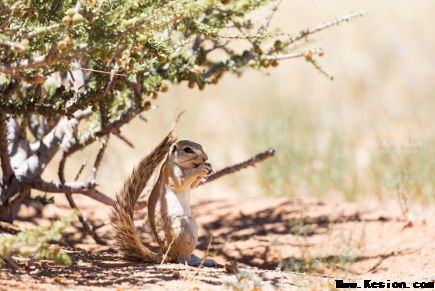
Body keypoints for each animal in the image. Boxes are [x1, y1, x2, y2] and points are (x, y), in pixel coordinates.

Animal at [111, 127, 218, 266]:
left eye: (201, 146)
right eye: (188, 150)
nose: (205, 157)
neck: (185, 167)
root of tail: (166, 254)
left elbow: (193, 186)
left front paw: (207, 168)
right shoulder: (170, 172)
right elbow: (180, 184)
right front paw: (201, 169)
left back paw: (205, 260)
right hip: (185, 226)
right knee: (180, 259)